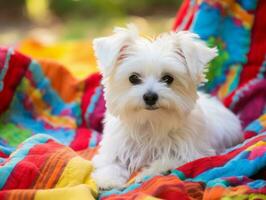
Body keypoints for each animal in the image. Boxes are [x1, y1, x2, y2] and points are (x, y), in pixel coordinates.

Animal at [92, 24, 243, 189]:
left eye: (168, 79)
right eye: (133, 78)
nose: (150, 96)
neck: (150, 123)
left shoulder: (195, 153)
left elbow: (170, 160)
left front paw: (149, 172)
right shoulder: (114, 149)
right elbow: (110, 164)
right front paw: (109, 180)